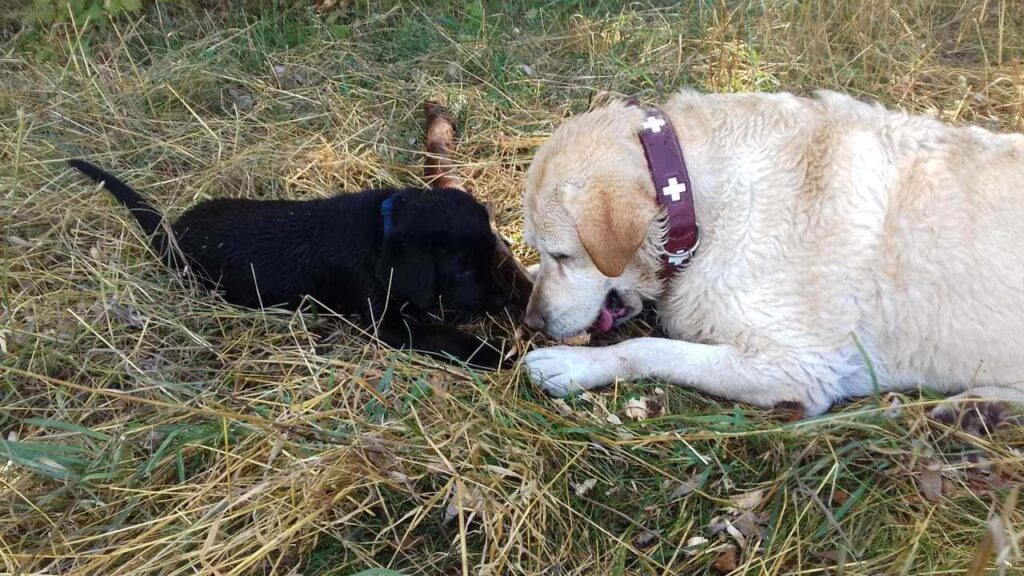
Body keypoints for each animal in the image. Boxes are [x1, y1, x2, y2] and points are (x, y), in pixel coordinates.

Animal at [68, 157, 507, 362]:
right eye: (462, 267)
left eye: (492, 252)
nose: (502, 301)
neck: (383, 229)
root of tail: (172, 234)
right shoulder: (387, 324)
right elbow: (442, 336)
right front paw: (494, 354)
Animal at [524, 89, 1019, 426]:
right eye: (541, 251)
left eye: (564, 255)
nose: (532, 322)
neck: (697, 205)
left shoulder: (799, 368)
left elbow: (646, 348)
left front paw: (572, 365)